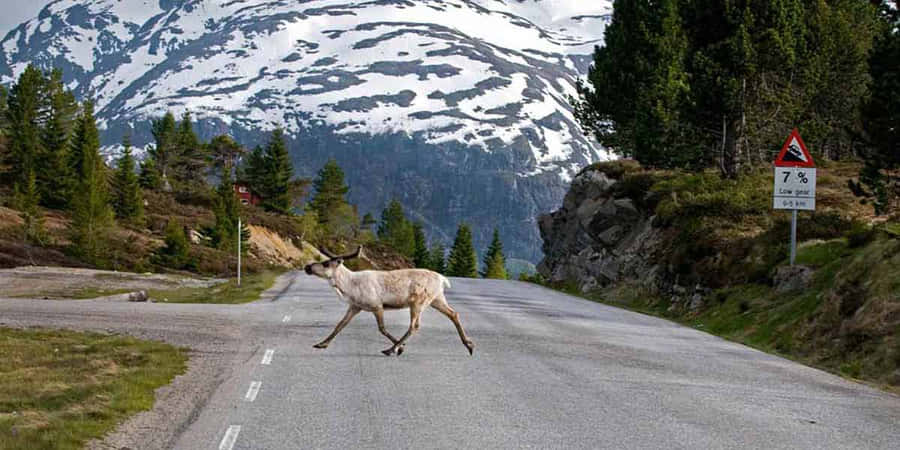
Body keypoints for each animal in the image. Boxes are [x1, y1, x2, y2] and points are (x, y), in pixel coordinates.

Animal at [303, 246, 474, 356]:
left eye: (326, 263)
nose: (307, 267)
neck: (350, 286)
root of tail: (443, 279)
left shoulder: (377, 306)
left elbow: (382, 329)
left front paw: (401, 347)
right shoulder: (355, 307)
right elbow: (340, 325)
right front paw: (321, 344)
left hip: (418, 302)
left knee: (414, 325)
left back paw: (390, 349)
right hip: (437, 299)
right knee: (453, 314)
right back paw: (469, 345)